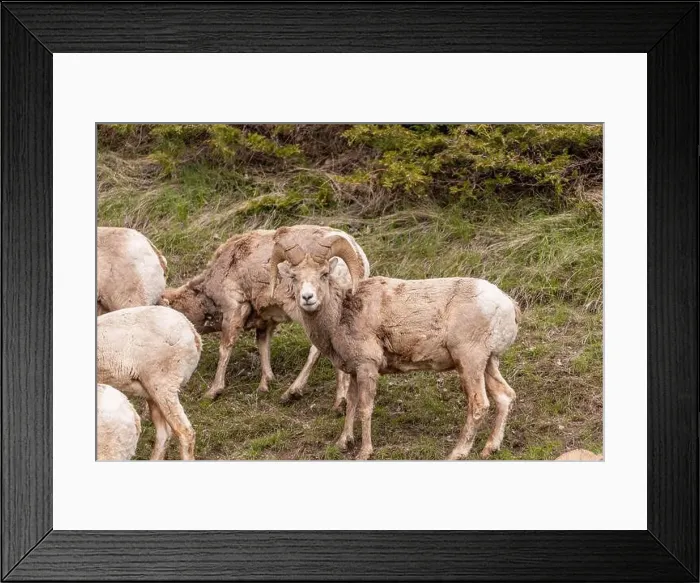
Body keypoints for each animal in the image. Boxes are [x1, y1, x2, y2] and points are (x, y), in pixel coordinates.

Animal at [161, 225, 370, 409]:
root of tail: (357, 258)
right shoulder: (266, 319)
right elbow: (263, 346)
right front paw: (265, 384)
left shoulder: (234, 309)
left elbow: (225, 349)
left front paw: (213, 391)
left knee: (317, 349)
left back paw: (296, 394)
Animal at [270, 233, 520, 460]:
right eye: (294, 276)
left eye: (323, 274)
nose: (307, 298)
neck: (341, 314)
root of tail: (507, 304)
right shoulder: (354, 371)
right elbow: (351, 405)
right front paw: (343, 443)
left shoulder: (367, 368)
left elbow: (365, 408)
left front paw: (364, 452)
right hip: (488, 363)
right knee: (505, 396)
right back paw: (489, 449)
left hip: (469, 362)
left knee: (479, 404)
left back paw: (457, 453)